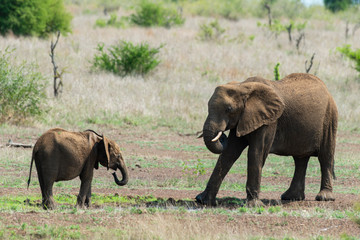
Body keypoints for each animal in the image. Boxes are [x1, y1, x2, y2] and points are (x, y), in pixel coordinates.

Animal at [197, 72, 338, 206]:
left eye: (229, 109)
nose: (221, 136)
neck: (242, 86)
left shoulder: (269, 120)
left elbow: (256, 152)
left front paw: (253, 205)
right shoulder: (243, 119)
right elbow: (229, 153)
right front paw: (203, 201)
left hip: (330, 117)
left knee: (325, 156)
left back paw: (324, 198)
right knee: (300, 159)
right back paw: (291, 197)